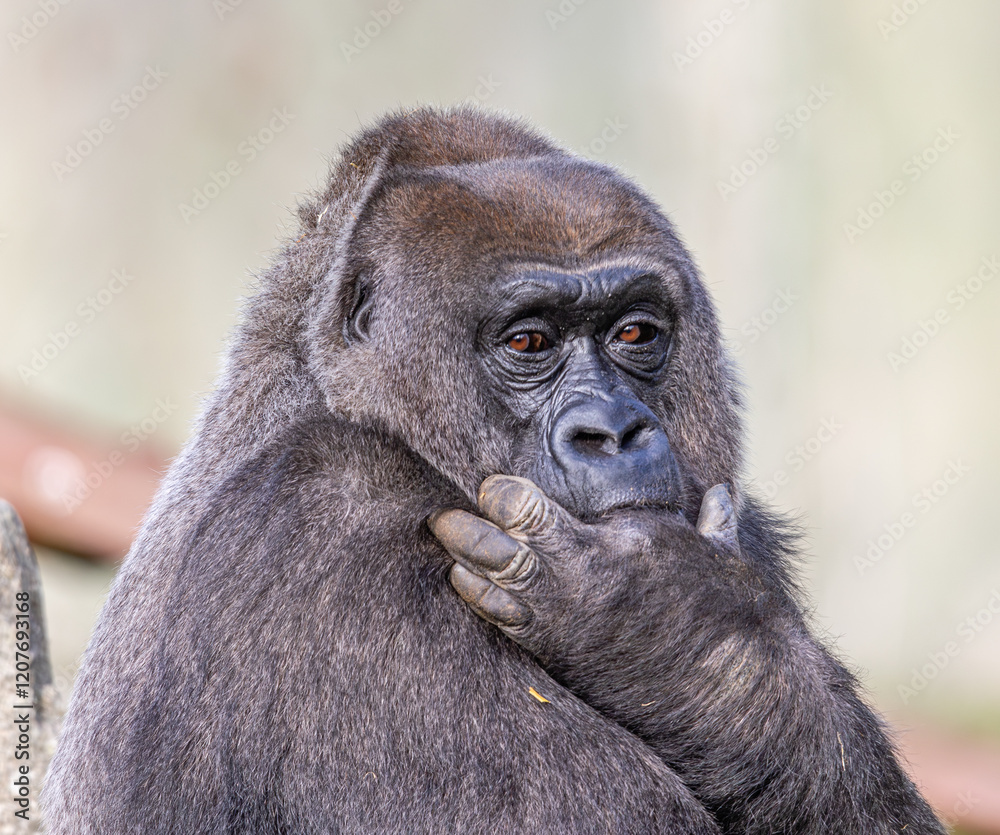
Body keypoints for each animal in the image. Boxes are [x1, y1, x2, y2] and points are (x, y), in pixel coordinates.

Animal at [43, 105, 945, 834]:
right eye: (528, 341)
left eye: (635, 332)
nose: (613, 433)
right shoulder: (329, 528)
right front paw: (686, 636)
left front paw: (684, 640)